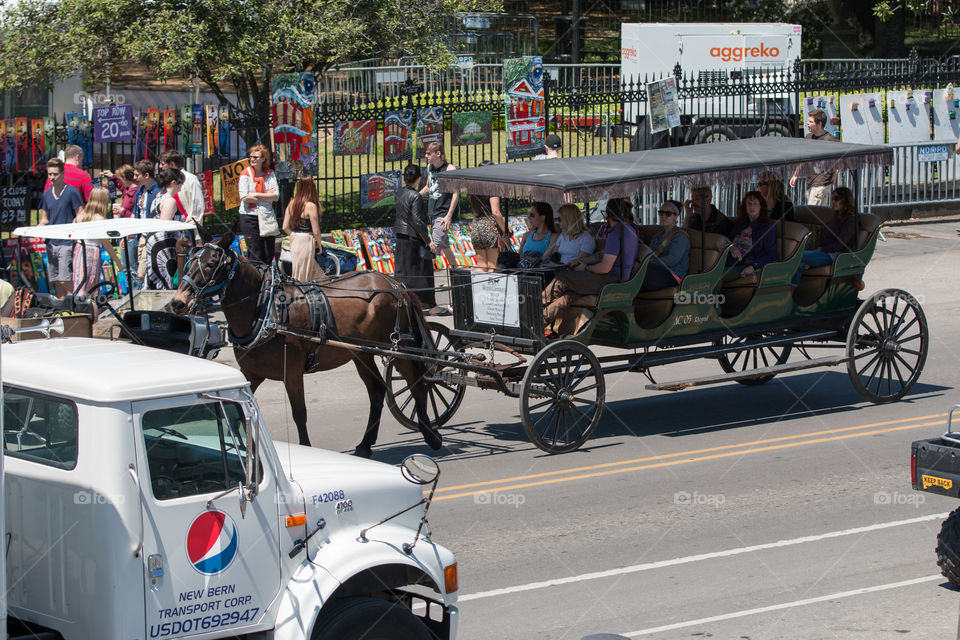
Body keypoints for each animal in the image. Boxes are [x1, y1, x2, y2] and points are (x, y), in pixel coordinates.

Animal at [170, 228, 442, 458]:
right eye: (190, 260)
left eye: (211, 264)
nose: (178, 302)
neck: (265, 309)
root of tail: (395, 284)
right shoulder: (251, 373)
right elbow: (240, 411)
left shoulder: (291, 370)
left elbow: (299, 413)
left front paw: (306, 448)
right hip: (361, 353)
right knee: (377, 391)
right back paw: (366, 444)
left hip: (397, 348)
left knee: (418, 385)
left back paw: (431, 436)